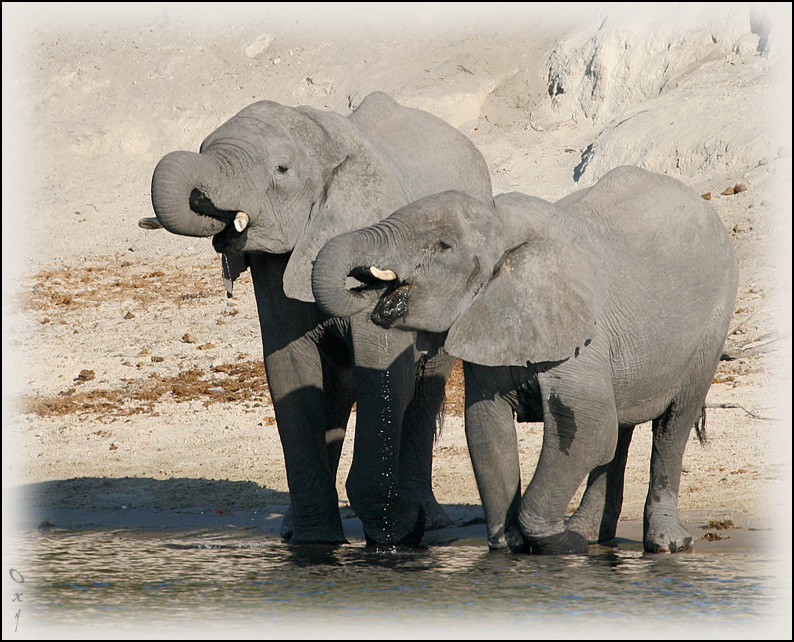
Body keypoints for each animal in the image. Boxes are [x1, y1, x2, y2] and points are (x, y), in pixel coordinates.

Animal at [143, 92, 493, 546]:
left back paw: (427, 520)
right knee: (338, 388)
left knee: (424, 385)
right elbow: (289, 370)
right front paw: (316, 543)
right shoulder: (272, 268)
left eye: (281, 169)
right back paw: (297, 530)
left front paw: (395, 532)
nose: (207, 204)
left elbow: (381, 365)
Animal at [311, 166, 739, 554]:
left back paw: (666, 544)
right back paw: (590, 536)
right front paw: (509, 546)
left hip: (712, 326)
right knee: (620, 431)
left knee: (672, 426)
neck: (502, 223)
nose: (364, 286)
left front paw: (557, 542)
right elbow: (487, 428)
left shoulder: (579, 332)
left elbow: (585, 426)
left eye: (444, 246)